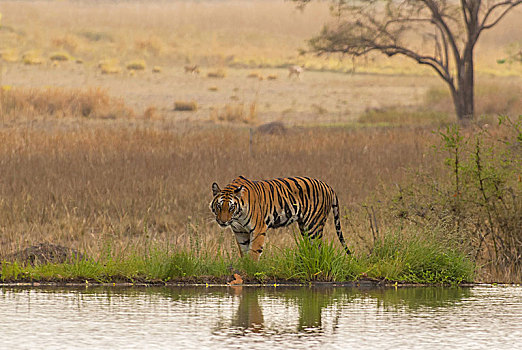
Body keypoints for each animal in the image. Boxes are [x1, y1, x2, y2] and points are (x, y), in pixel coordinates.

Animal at [208, 175, 350, 260]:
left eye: (231, 207)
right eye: (219, 206)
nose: (223, 221)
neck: (237, 217)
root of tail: (328, 186)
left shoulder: (258, 228)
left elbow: (253, 252)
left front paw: (250, 269)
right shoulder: (240, 231)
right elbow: (244, 251)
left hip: (313, 225)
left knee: (319, 247)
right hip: (304, 226)